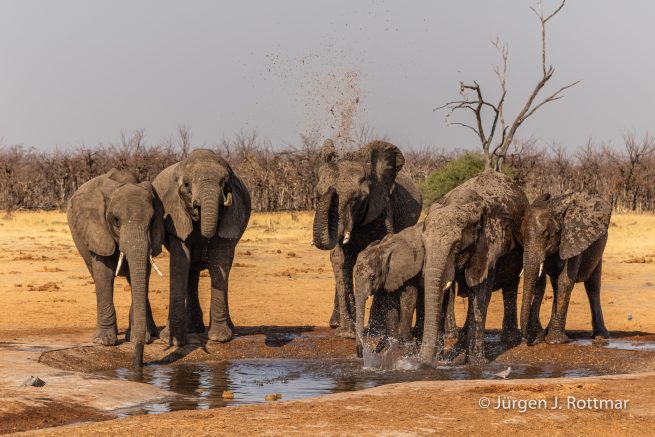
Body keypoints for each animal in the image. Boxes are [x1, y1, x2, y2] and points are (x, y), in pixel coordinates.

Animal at [67, 168, 165, 367]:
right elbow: (104, 273)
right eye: (116, 220)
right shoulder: (97, 229)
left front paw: (139, 337)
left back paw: (152, 333)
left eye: (152, 220)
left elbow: (142, 274)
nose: (138, 365)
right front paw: (103, 342)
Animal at [152, 149, 251, 346]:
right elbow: (180, 264)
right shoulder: (175, 213)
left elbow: (219, 262)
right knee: (191, 272)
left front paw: (220, 338)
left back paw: (227, 328)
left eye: (225, 183)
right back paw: (193, 329)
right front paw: (172, 341)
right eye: (187, 184)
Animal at [311, 139, 422, 338]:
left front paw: (374, 332)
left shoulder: (383, 207)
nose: (331, 152)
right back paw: (334, 324)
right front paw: (346, 333)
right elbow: (340, 260)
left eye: (356, 198)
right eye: (317, 196)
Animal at [419, 171, 527, 365]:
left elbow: (479, 294)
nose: (421, 361)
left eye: (457, 246)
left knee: (510, 285)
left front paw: (476, 364)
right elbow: (443, 296)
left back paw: (510, 339)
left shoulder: (489, 247)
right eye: (423, 245)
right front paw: (439, 362)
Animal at [519, 192, 612, 345]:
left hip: (597, 250)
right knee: (555, 285)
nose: (527, 340)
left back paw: (600, 337)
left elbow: (565, 281)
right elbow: (541, 281)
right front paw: (541, 337)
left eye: (547, 236)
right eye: (522, 237)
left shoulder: (574, 239)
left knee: (592, 286)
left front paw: (555, 341)